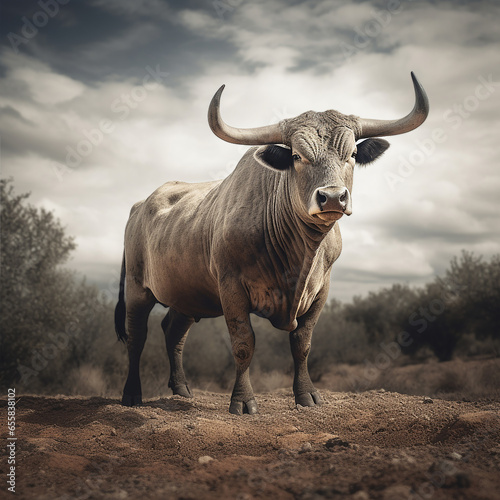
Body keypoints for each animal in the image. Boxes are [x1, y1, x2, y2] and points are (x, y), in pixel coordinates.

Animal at [115, 71, 428, 414]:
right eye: (296, 156)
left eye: (353, 156)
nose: (333, 197)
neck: (299, 255)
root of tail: (141, 204)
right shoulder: (231, 287)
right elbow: (244, 343)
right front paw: (243, 400)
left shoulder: (322, 290)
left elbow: (302, 343)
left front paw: (307, 395)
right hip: (137, 288)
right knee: (137, 336)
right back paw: (131, 394)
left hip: (186, 294)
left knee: (173, 333)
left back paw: (183, 390)